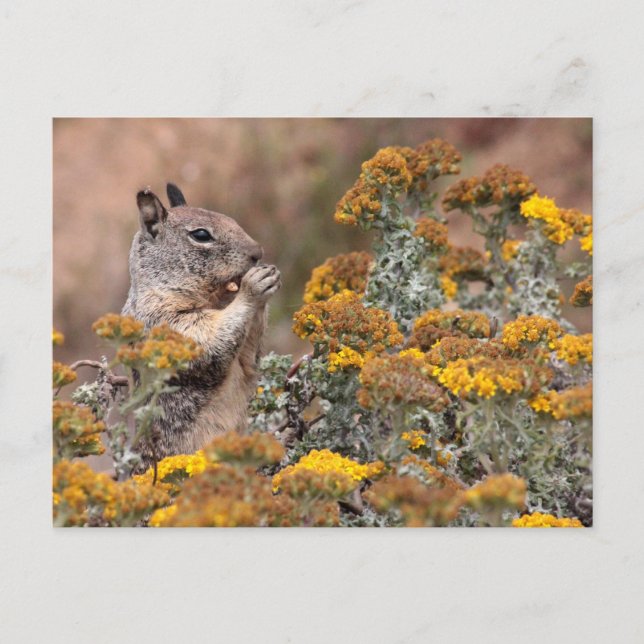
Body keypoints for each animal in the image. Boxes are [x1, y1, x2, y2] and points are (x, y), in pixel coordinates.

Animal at [122, 183, 281, 463]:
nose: (258, 253)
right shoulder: (169, 323)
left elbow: (249, 359)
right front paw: (253, 287)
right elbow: (211, 339)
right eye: (201, 235)